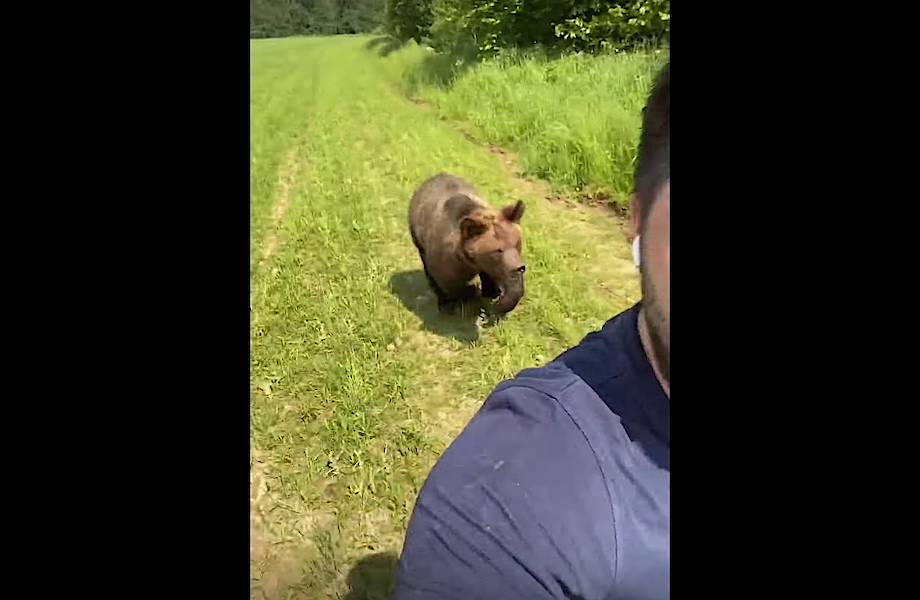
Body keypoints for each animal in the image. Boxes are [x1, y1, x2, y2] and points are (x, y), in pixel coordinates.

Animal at [409, 173, 526, 315]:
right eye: (498, 250)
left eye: (517, 243)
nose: (519, 267)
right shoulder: (446, 261)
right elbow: (447, 283)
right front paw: (453, 302)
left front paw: (492, 292)